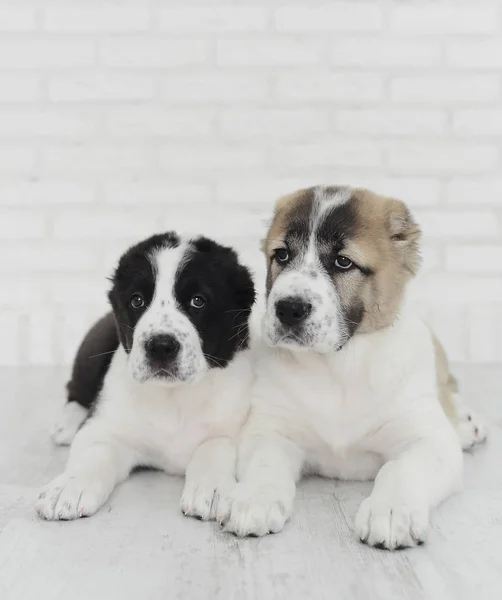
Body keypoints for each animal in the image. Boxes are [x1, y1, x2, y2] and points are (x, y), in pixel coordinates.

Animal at [36, 232, 255, 524]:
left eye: (198, 301)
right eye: (137, 301)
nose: (160, 346)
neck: (173, 396)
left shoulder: (233, 428)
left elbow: (213, 448)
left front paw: (211, 489)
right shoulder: (104, 427)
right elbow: (94, 453)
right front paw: (68, 488)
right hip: (92, 349)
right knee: (75, 389)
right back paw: (67, 425)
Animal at [220, 186, 486, 548]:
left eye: (343, 262)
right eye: (282, 255)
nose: (288, 309)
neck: (339, 368)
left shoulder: (429, 441)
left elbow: (401, 469)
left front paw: (391, 511)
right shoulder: (270, 431)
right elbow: (265, 464)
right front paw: (252, 499)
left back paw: (466, 425)